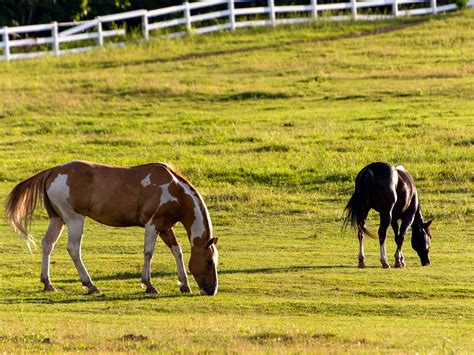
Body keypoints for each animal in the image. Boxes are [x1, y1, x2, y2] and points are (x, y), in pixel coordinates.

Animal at [5, 163, 218, 296]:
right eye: (209, 261)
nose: (212, 290)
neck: (175, 190)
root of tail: (53, 170)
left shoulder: (165, 227)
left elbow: (177, 251)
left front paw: (184, 284)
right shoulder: (152, 224)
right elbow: (148, 252)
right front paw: (148, 284)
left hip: (58, 220)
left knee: (47, 244)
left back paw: (48, 283)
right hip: (74, 220)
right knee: (73, 249)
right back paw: (91, 285)